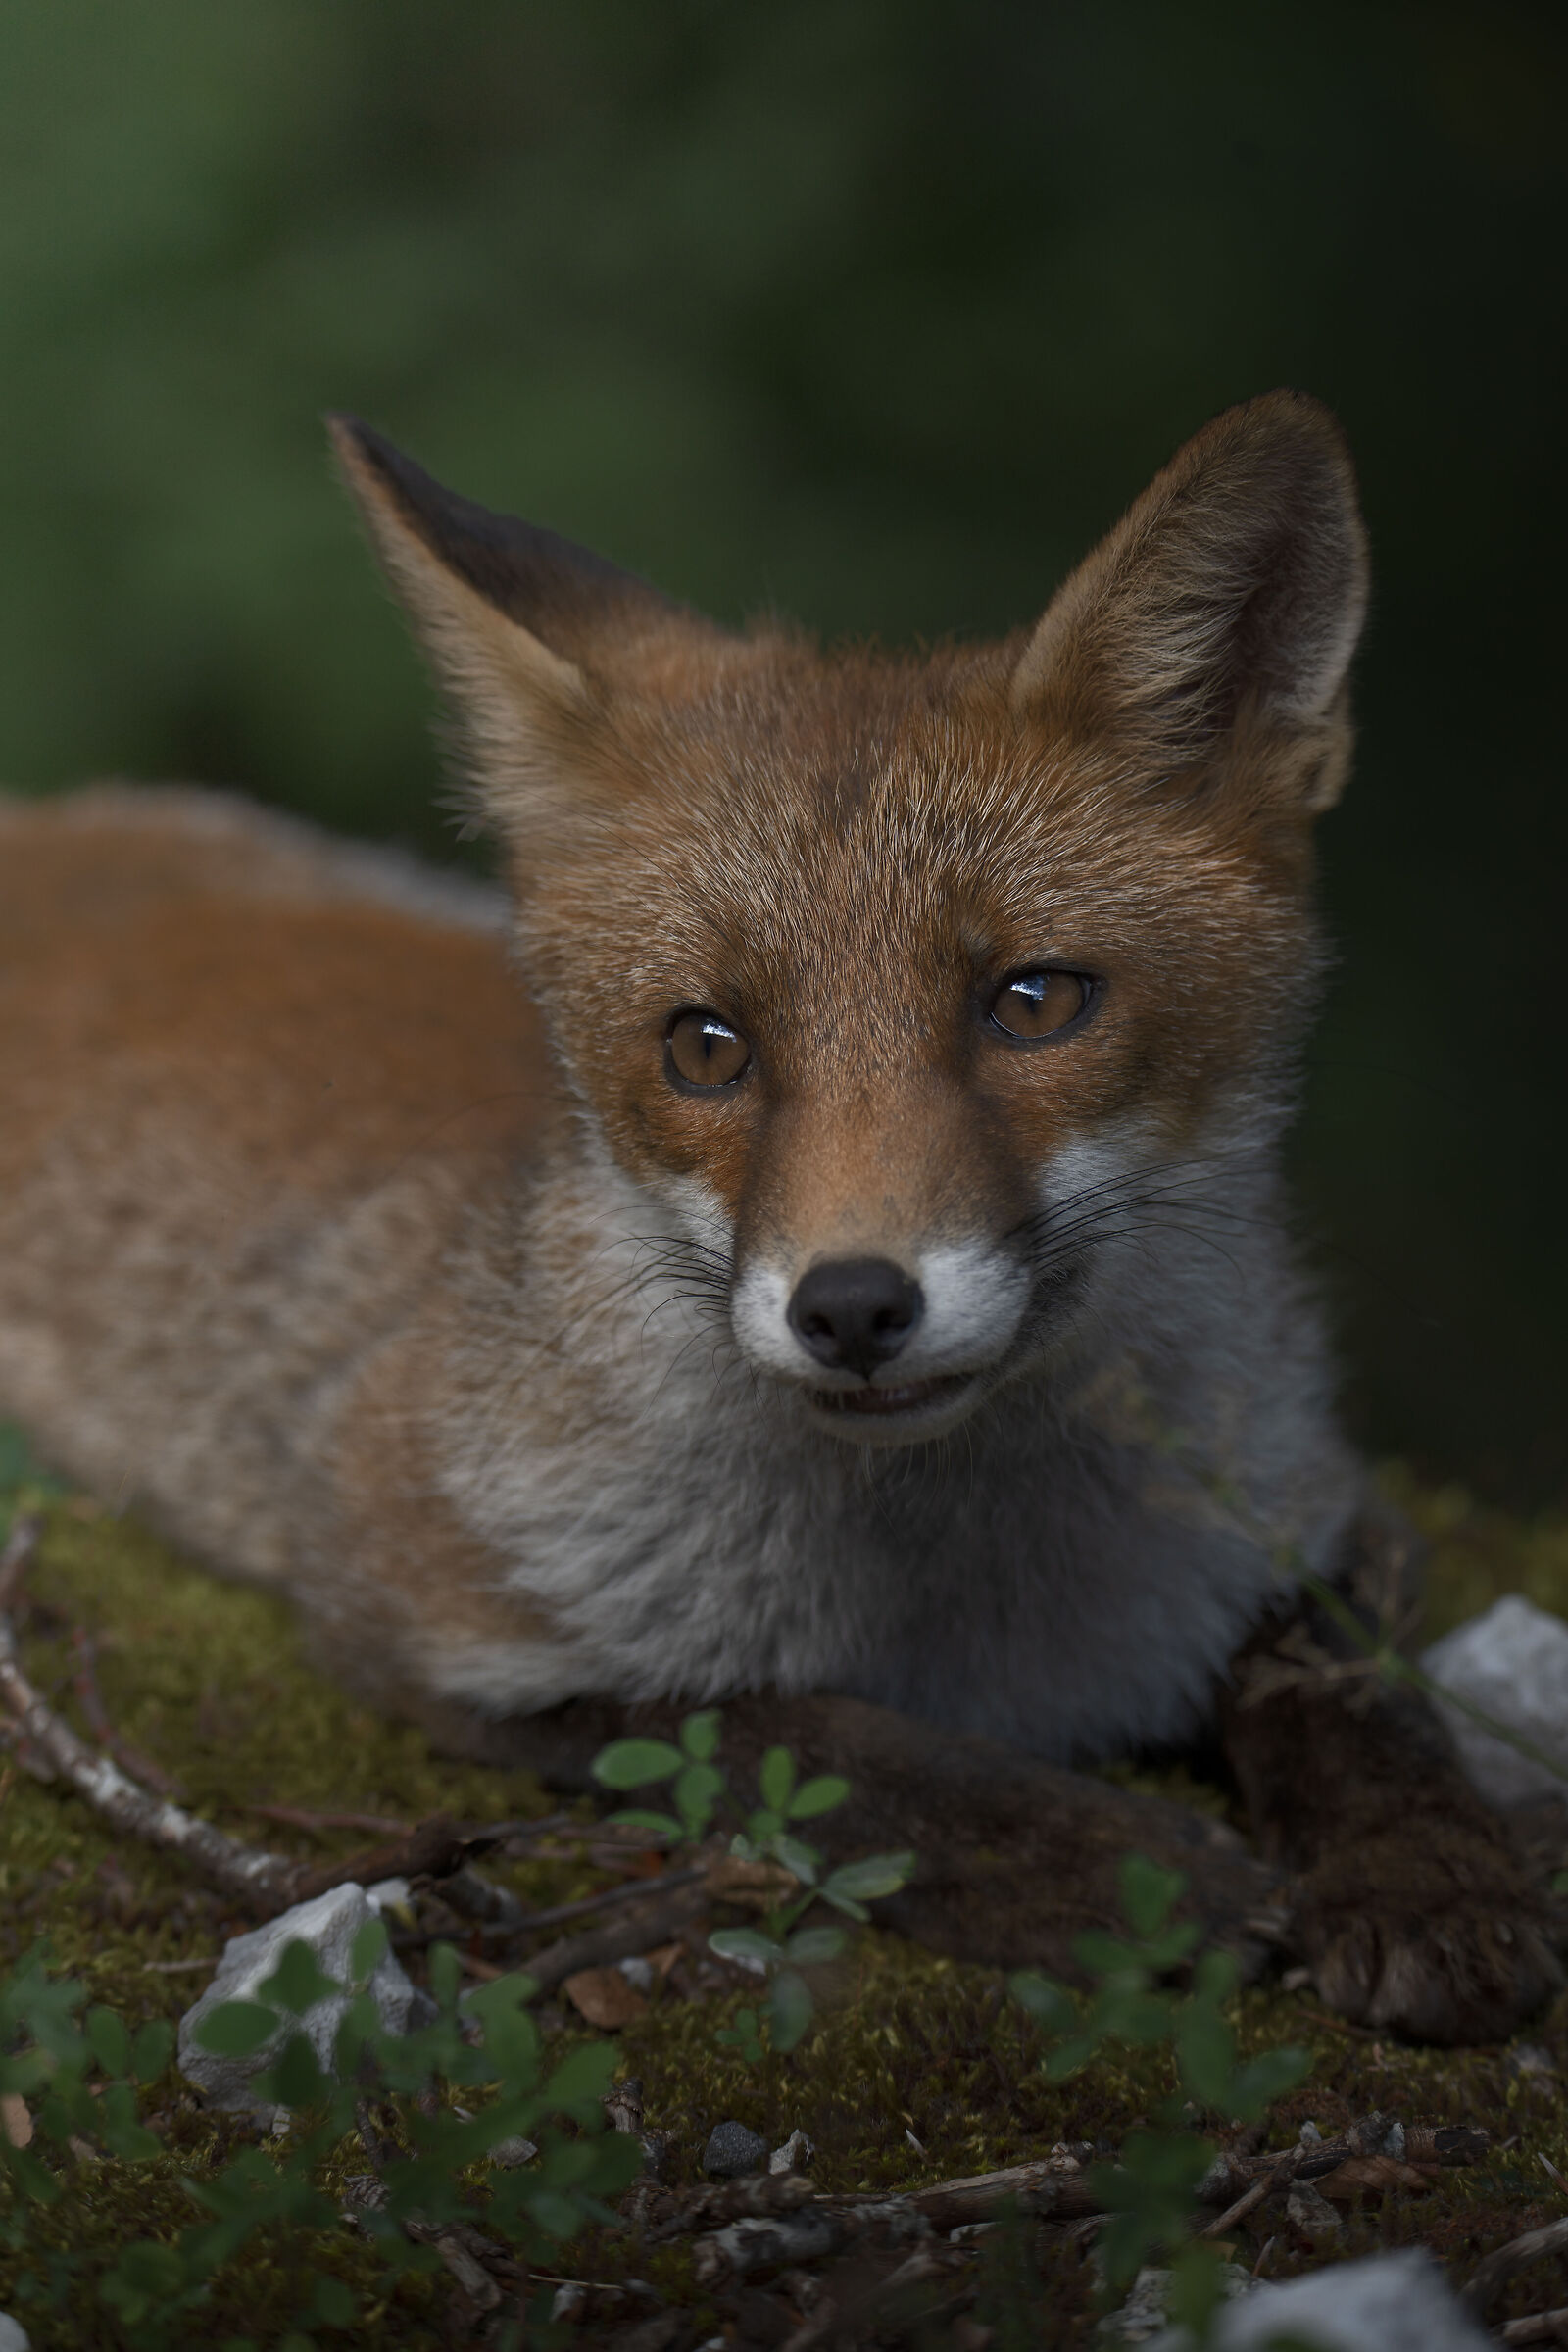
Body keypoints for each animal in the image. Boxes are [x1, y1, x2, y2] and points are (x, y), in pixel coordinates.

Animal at [0, 394, 1556, 2042]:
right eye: (705, 1045)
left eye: (1035, 1002)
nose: (853, 1306)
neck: (985, 1602)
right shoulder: (422, 1597)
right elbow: (804, 1737)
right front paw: (1112, 1870)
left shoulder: (1322, 1505)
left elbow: (1354, 1688)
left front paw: (1428, 1875)